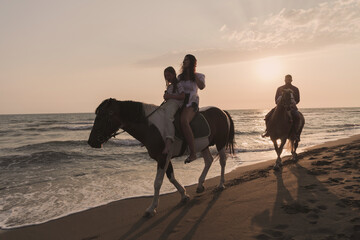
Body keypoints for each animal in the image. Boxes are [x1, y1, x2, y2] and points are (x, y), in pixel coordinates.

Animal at [86, 98, 235, 217]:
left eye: (101, 116)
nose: (91, 141)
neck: (150, 127)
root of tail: (222, 111)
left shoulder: (163, 157)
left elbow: (157, 182)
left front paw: (151, 208)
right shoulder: (164, 158)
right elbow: (171, 177)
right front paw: (184, 195)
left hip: (220, 143)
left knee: (222, 161)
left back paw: (220, 184)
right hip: (204, 146)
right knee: (208, 161)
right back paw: (200, 185)